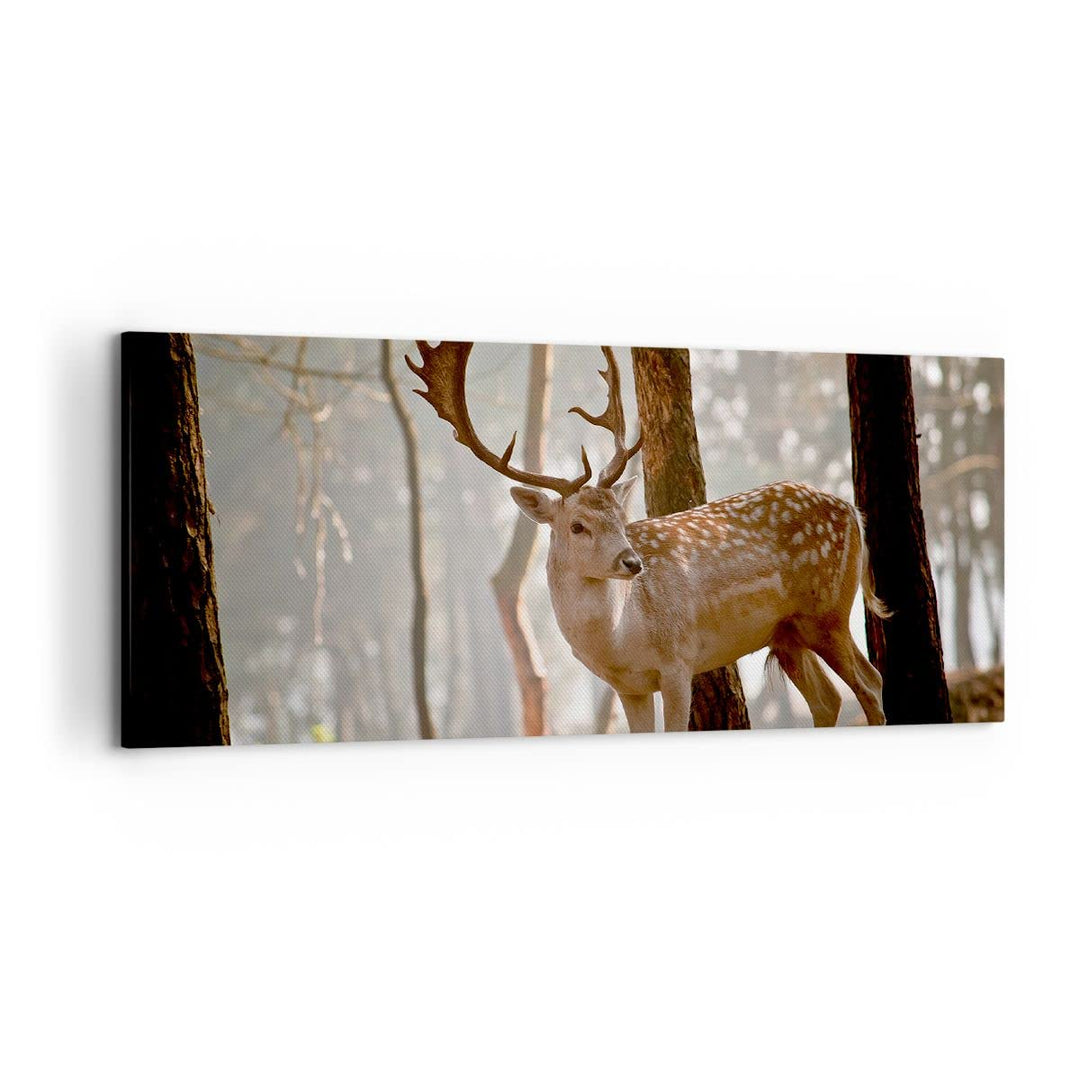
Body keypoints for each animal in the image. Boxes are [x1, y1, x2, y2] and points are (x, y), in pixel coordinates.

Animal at [407, 341, 888, 732]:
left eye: (622, 517)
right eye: (577, 525)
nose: (633, 562)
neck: (620, 641)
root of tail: (852, 510)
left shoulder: (678, 660)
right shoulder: (629, 686)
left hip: (825, 609)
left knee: (870, 681)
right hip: (786, 631)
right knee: (828, 700)